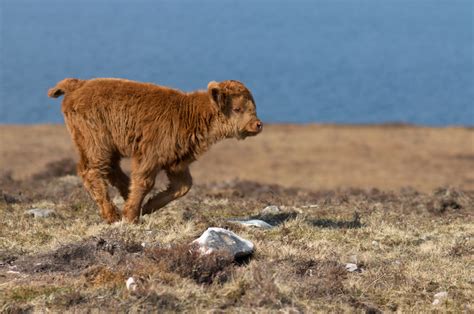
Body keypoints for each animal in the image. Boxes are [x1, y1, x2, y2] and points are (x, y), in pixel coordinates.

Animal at [48, 78, 262, 223]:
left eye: (254, 106)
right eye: (237, 109)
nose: (258, 124)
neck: (189, 114)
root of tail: (78, 84)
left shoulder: (176, 162)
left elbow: (183, 186)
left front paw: (147, 207)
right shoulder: (150, 156)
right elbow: (145, 182)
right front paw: (131, 216)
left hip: (109, 148)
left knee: (112, 171)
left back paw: (125, 197)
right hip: (96, 144)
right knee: (92, 171)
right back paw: (112, 214)